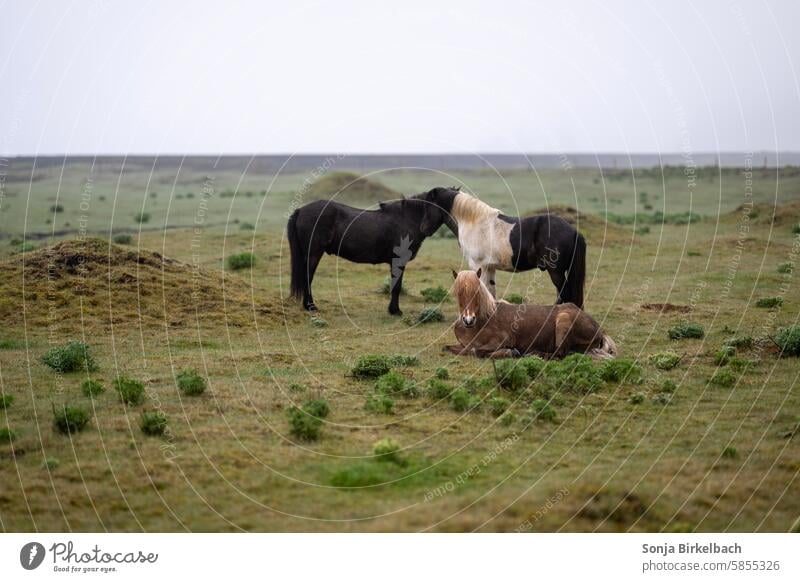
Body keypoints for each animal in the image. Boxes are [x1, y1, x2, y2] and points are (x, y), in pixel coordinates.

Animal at [288, 192, 450, 314]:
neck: (407, 219)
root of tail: (300, 210)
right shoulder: (398, 261)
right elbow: (396, 286)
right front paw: (395, 311)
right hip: (314, 253)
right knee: (307, 277)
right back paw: (311, 307)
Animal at [418, 187, 588, 308]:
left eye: (428, 206)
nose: (423, 229)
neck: (474, 222)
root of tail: (573, 231)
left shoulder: (478, 266)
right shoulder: (489, 268)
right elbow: (490, 292)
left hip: (556, 272)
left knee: (565, 294)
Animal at [444, 270, 620, 360]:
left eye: (477, 292)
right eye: (459, 293)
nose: (468, 320)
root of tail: (600, 330)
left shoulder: (502, 340)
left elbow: (478, 351)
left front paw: (511, 352)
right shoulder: (462, 345)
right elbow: (450, 348)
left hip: (563, 320)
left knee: (560, 353)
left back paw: (532, 353)